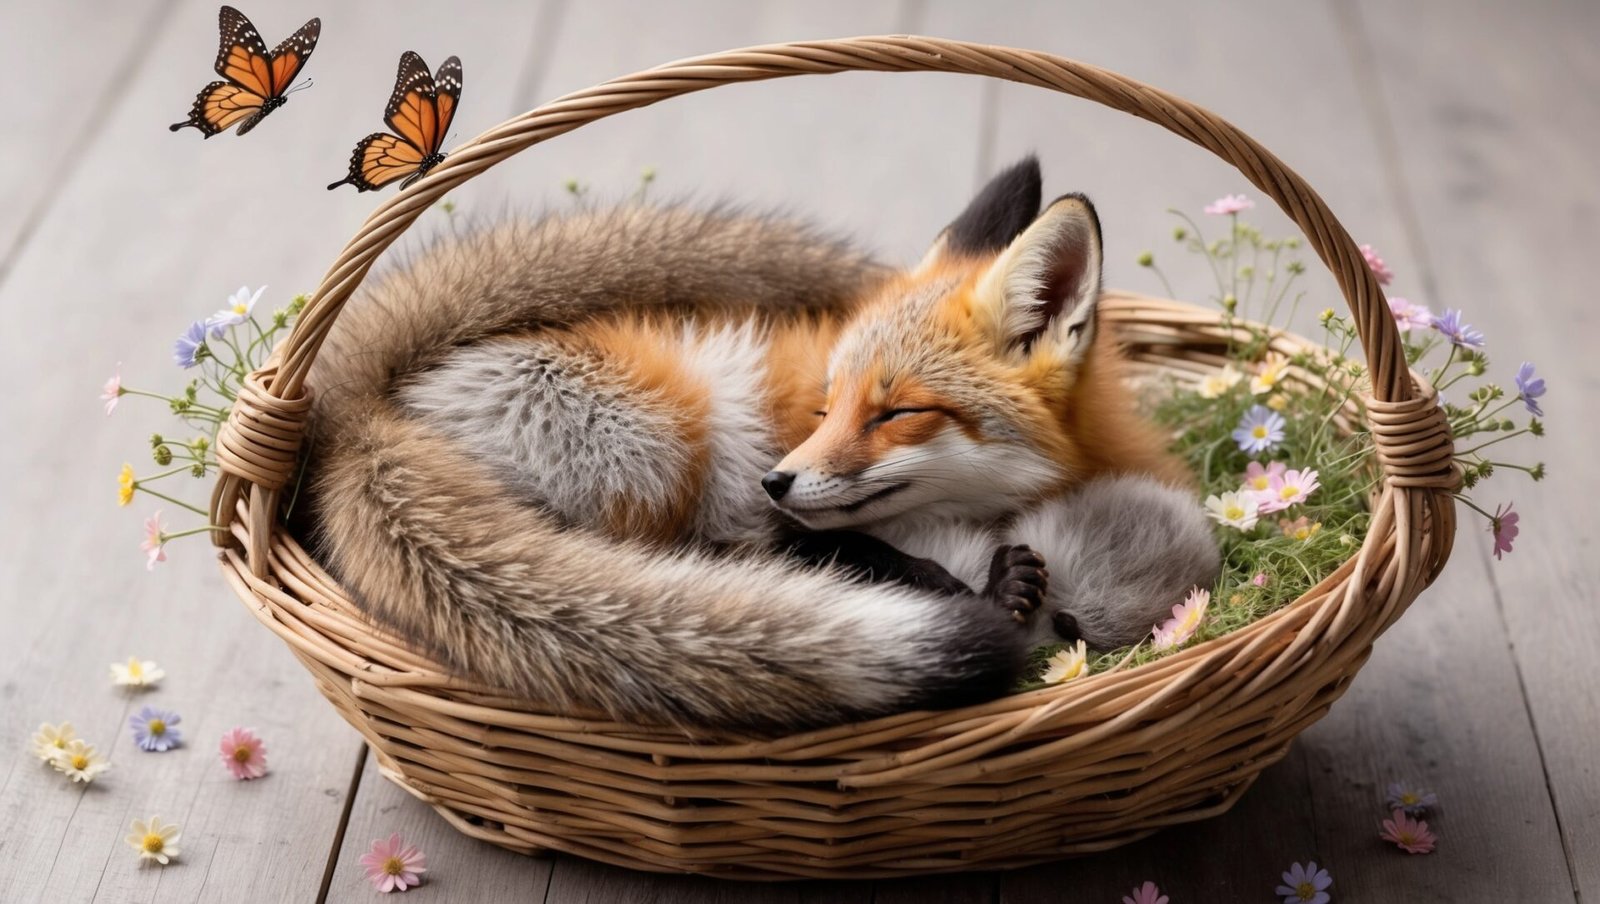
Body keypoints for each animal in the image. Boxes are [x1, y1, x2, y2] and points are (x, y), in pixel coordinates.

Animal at [305, 156, 1216, 732]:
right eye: (824, 407)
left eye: (892, 413)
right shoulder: (779, 507)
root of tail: (360, 411)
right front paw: (978, 591)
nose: (779, 480)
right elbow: (841, 550)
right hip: (675, 433)